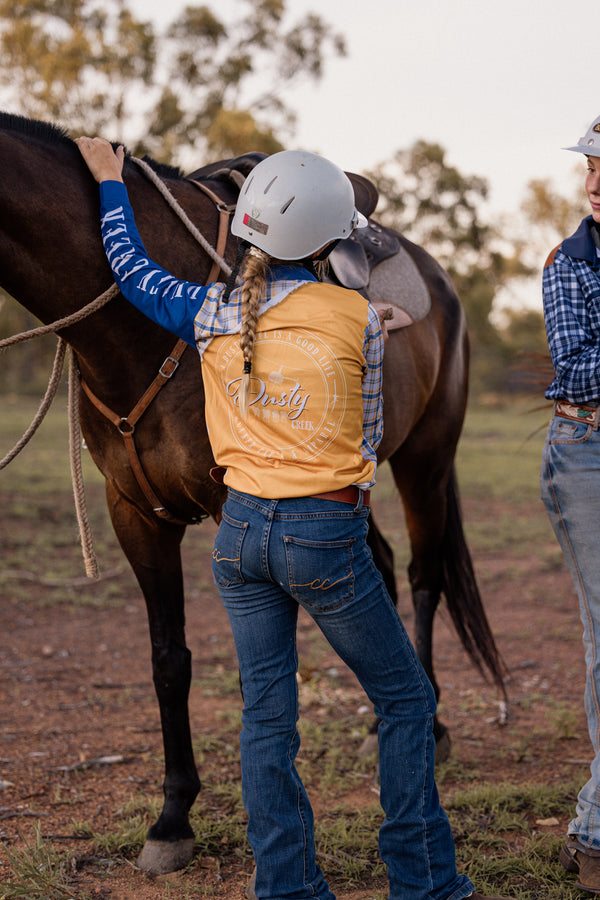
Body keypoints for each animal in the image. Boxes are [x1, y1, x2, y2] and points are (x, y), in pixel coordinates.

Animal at [1, 112, 506, 872]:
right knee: (385, 571)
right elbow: (169, 661)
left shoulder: (240, 506)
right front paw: (173, 816)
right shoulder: (135, 514)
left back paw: (434, 721)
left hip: (425, 459)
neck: (133, 336)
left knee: (424, 576)